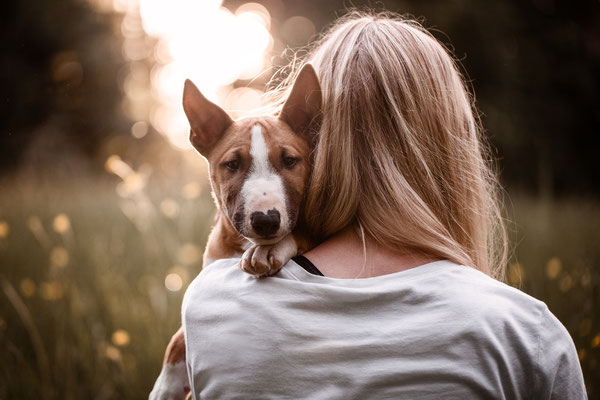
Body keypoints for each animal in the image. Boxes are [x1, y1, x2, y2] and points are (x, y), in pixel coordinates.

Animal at [148, 64, 322, 398]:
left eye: (290, 160)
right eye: (231, 164)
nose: (266, 220)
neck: (243, 243)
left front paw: (269, 248)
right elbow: (179, 336)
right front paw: (165, 386)